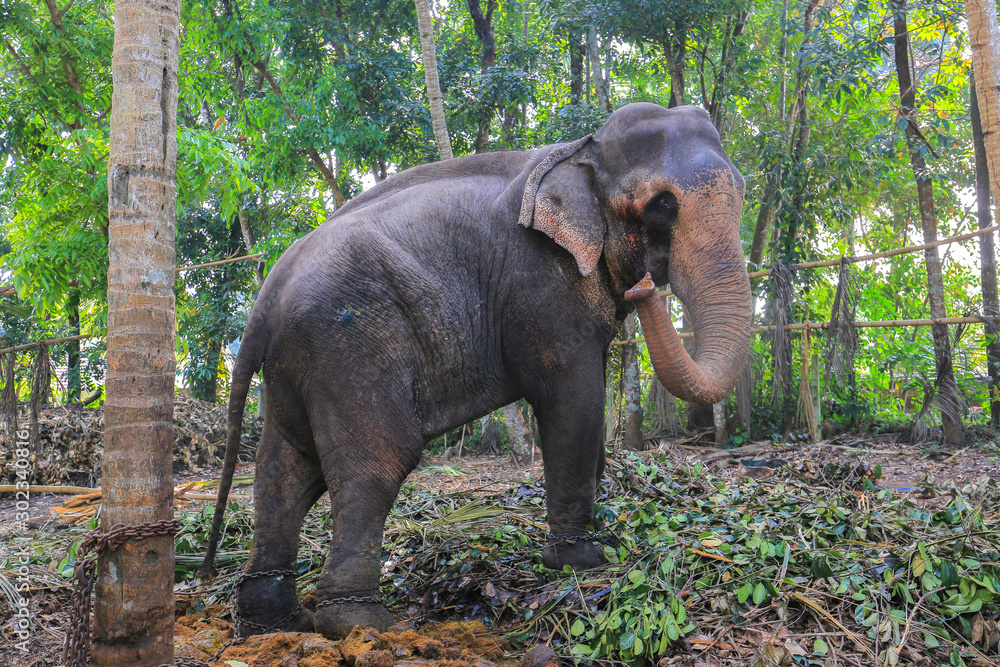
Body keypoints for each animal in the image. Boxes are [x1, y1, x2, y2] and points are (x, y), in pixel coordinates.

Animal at [200, 102, 751, 639]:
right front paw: (580, 562)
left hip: (296, 363)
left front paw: (604, 530)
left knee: (285, 470)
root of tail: (264, 299)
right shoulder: (539, 283)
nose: (643, 288)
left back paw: (275, 623)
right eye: (662, 205)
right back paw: (360, 626)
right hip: (348, 344)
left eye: (743, 190)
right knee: (376, 461)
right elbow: (573, 400)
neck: (581, 149)